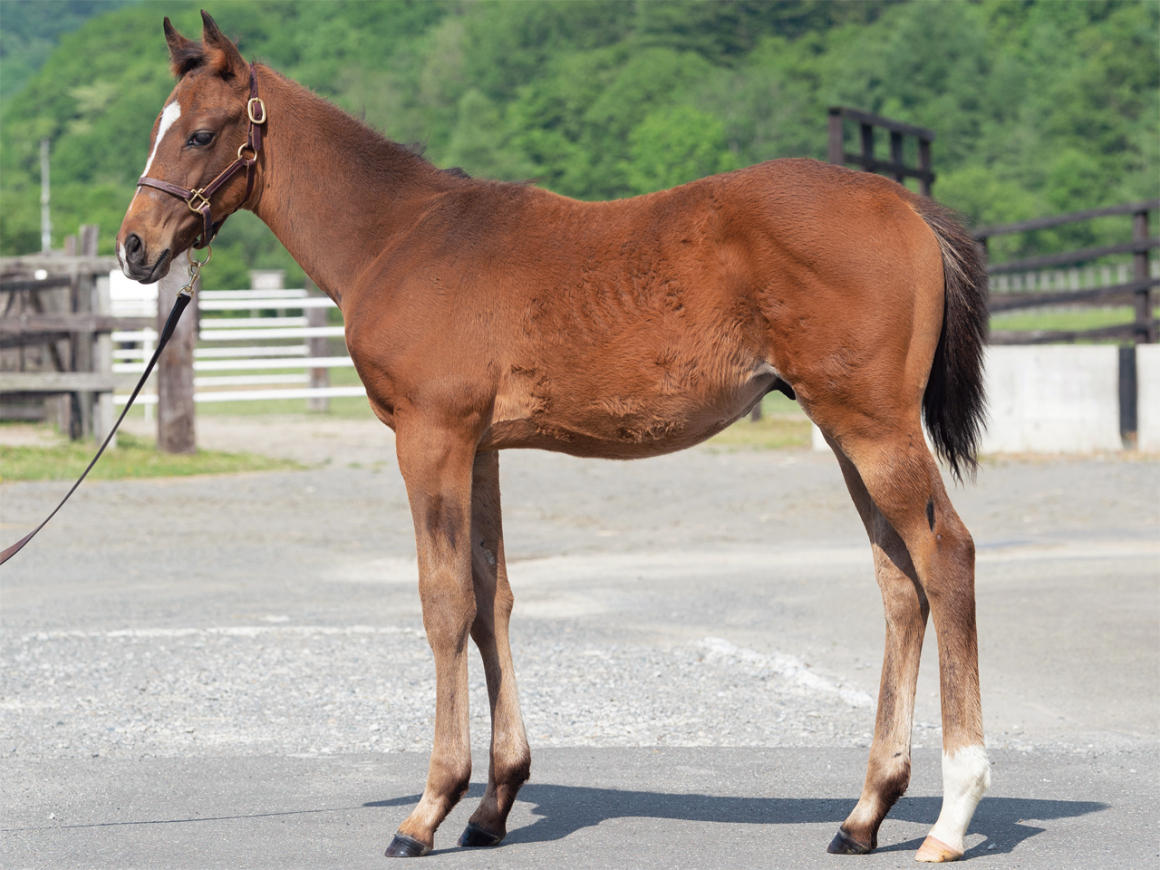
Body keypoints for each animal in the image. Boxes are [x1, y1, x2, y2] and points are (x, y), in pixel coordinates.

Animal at [115, 13, 988, 867]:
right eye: (156, 127)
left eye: (200, 133)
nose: (134, 246)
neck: (399, 237)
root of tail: (904, 205)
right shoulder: (481, 447)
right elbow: (490, 598)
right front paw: (493, 803)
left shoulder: (430, 436)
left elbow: (444, 601)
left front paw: (428, 809)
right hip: (844, 432)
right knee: (900, 584)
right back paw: (865, 813)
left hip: (871, 425)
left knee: (947, 556)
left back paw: (950, 817)